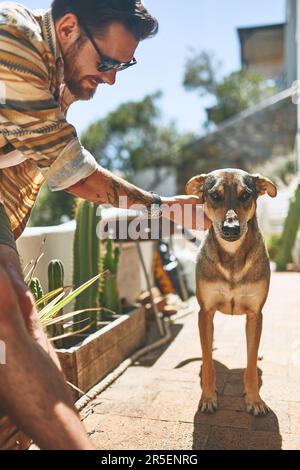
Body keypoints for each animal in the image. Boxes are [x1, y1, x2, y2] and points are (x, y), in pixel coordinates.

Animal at [186, 168, 278, 414]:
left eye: (245, 195)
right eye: (214, 196)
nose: (231, 229)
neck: (232, 255)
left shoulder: (255, 314)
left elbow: (251, 362)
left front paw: (255, 400)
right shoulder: (205, 312)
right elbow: (208, 362)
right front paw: (208, 397)